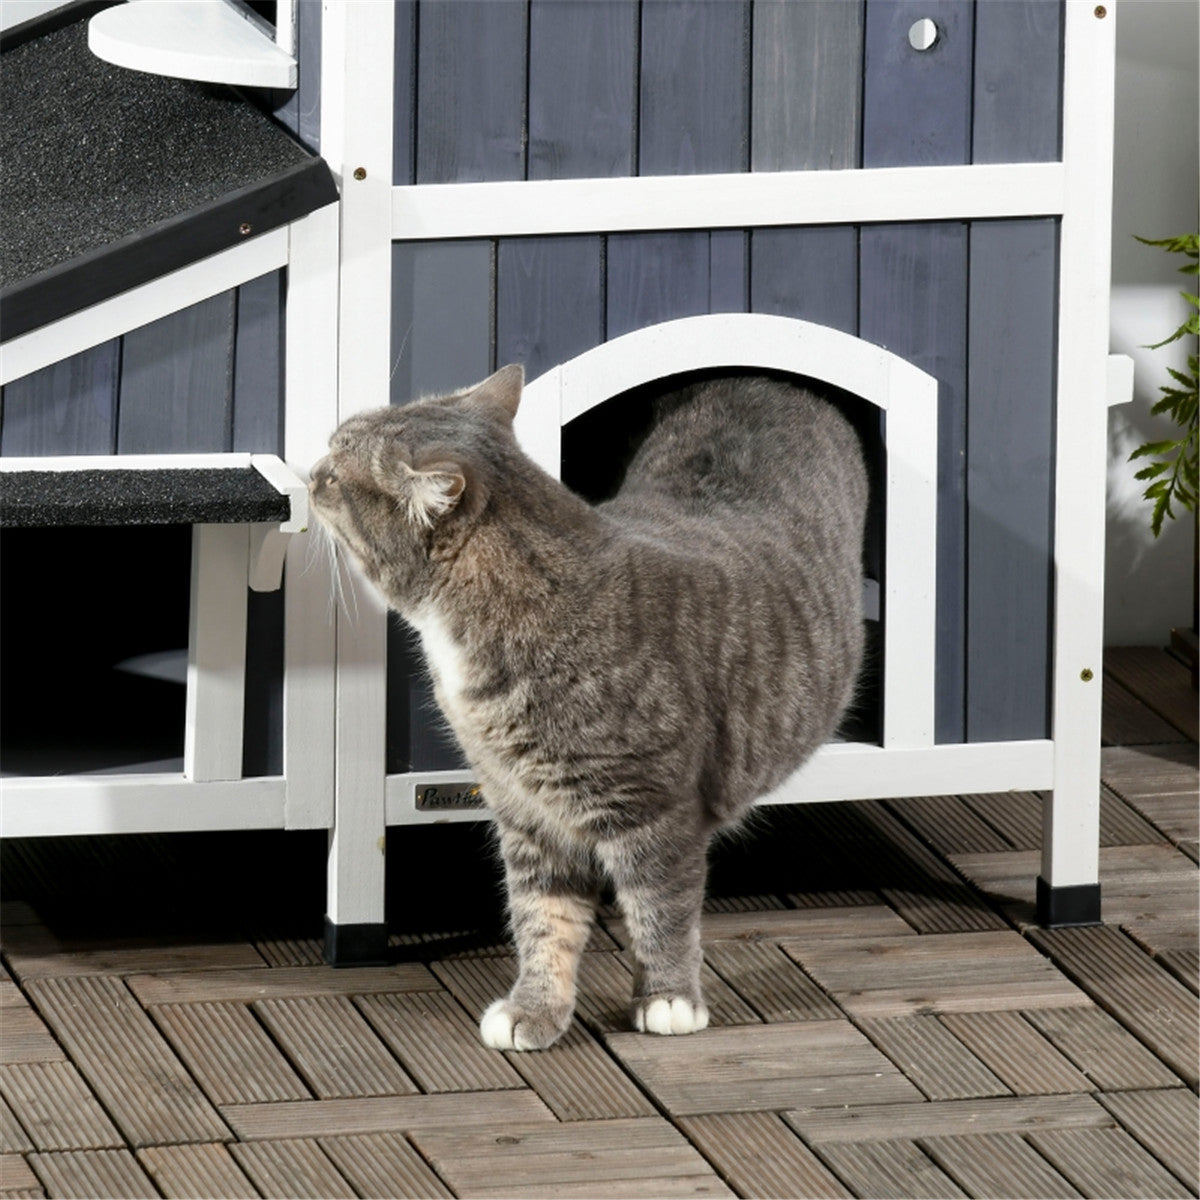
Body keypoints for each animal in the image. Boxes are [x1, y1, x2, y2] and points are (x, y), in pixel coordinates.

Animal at [309, 364, 868, 1051]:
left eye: (338, 473)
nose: (310, 471)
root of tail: (761, 380)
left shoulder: (652, 807)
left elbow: (660, 909)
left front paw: (669, 1000)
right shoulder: (524, 808)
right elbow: (542, 918)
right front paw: (536, 1008)